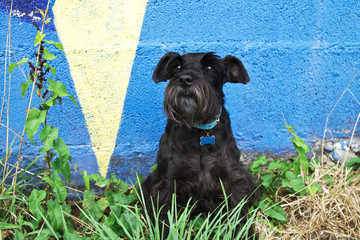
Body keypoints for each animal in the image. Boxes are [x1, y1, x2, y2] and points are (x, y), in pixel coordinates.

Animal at [141, 51, 258, 238]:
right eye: (177, 66)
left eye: (210, 67)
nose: (184, 79)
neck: (199, 130)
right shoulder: (166, 182)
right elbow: (164, 215)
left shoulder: (233, 179)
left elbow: (237, 213)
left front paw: (244, 233)